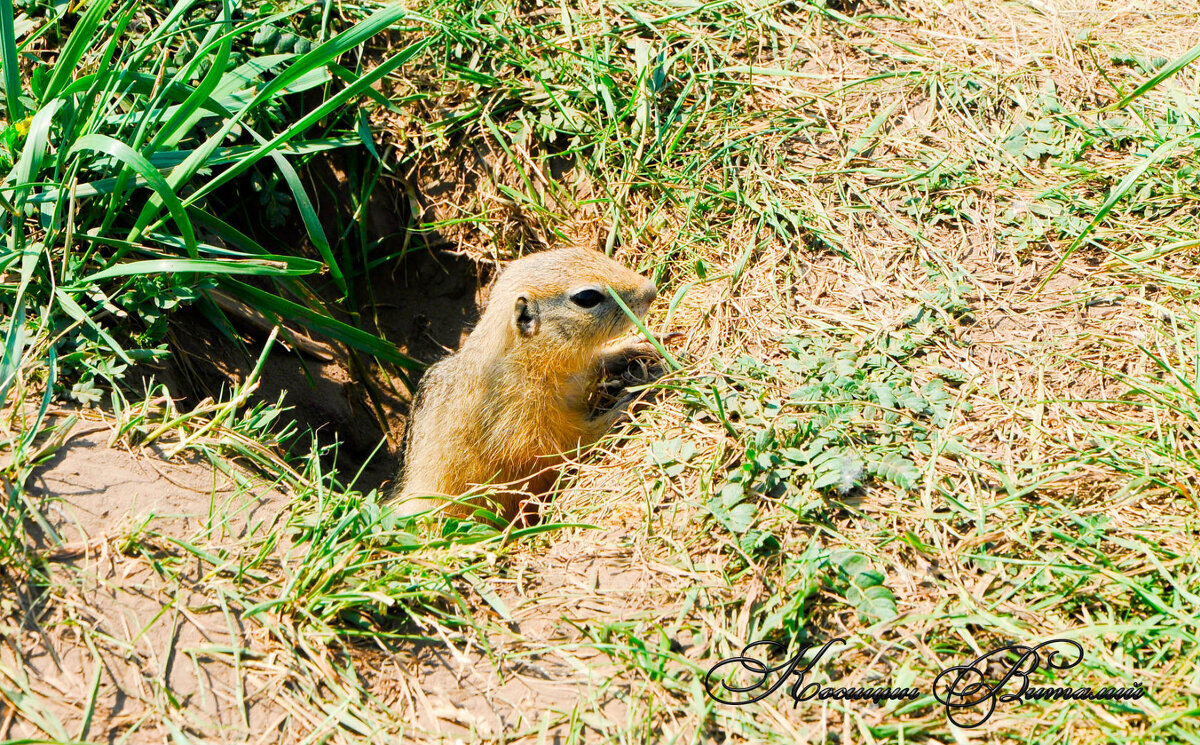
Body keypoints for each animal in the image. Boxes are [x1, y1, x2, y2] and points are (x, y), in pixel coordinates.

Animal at [391, 247, 657, 520]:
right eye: (587, 297)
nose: (651, 291)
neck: (524, 359)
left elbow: (597, 363)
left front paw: (634, 347)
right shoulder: (522, 420)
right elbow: (572, 443)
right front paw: (625, 407)